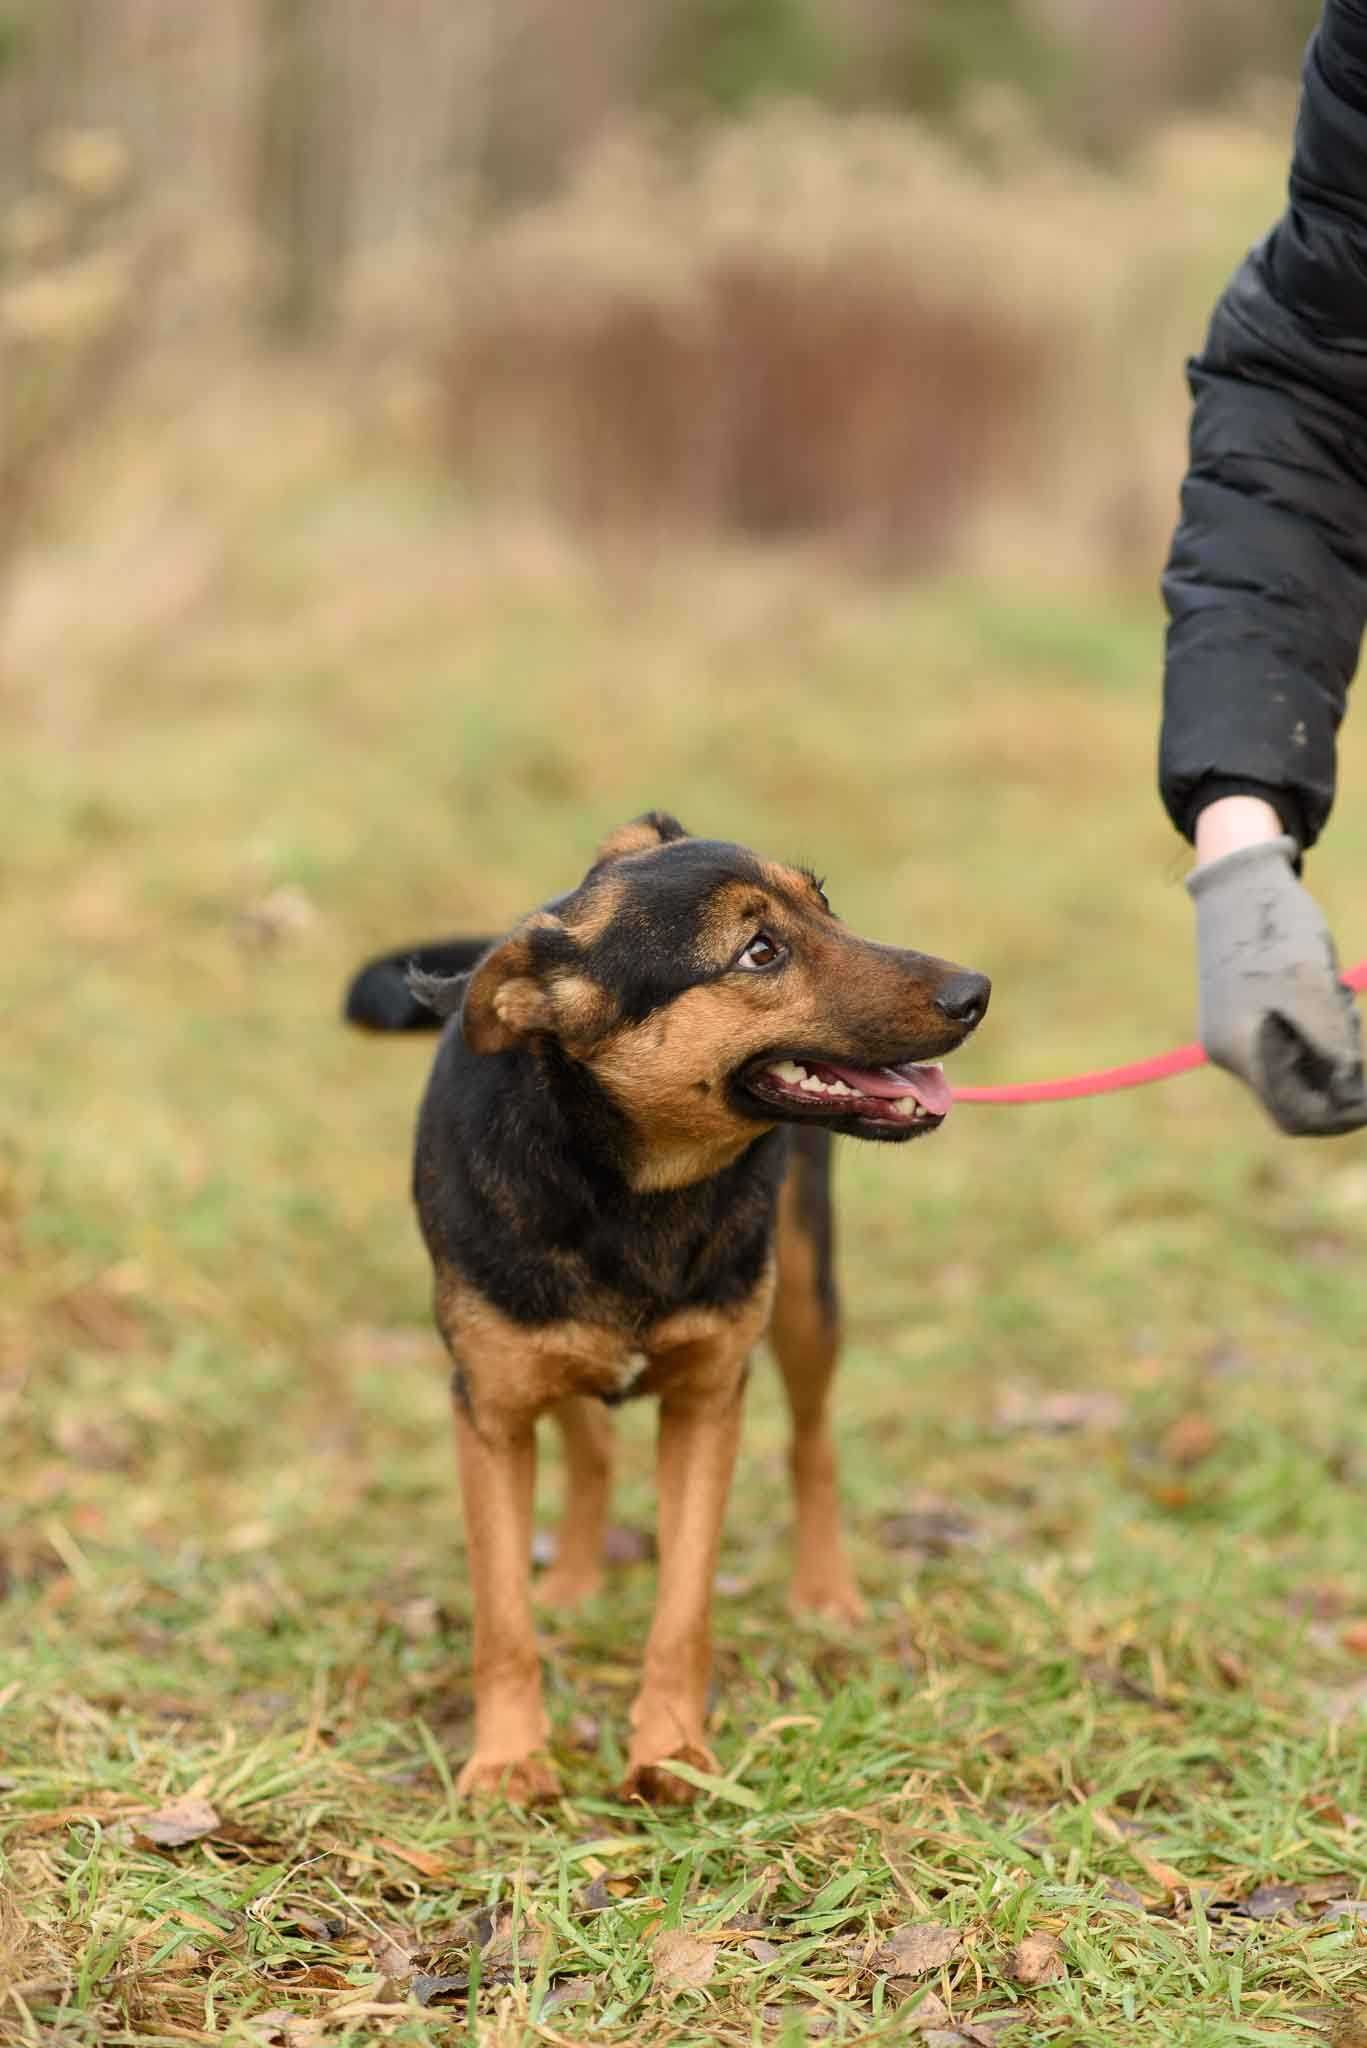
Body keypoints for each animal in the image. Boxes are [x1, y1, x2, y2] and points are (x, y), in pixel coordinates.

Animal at [340, 806, 983, 1802]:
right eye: (758, 951)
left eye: (824, 904)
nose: (975, 992)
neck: (632, 1188)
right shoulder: (489, 1409)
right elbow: (501, 1620)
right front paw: (510, 1759)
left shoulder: (707, 1399)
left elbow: (683, 1611)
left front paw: (672, 1753)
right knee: (589, 1445)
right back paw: (571, 1583)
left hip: (806, 1297)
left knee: (811, 1444)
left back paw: (824, 1593)